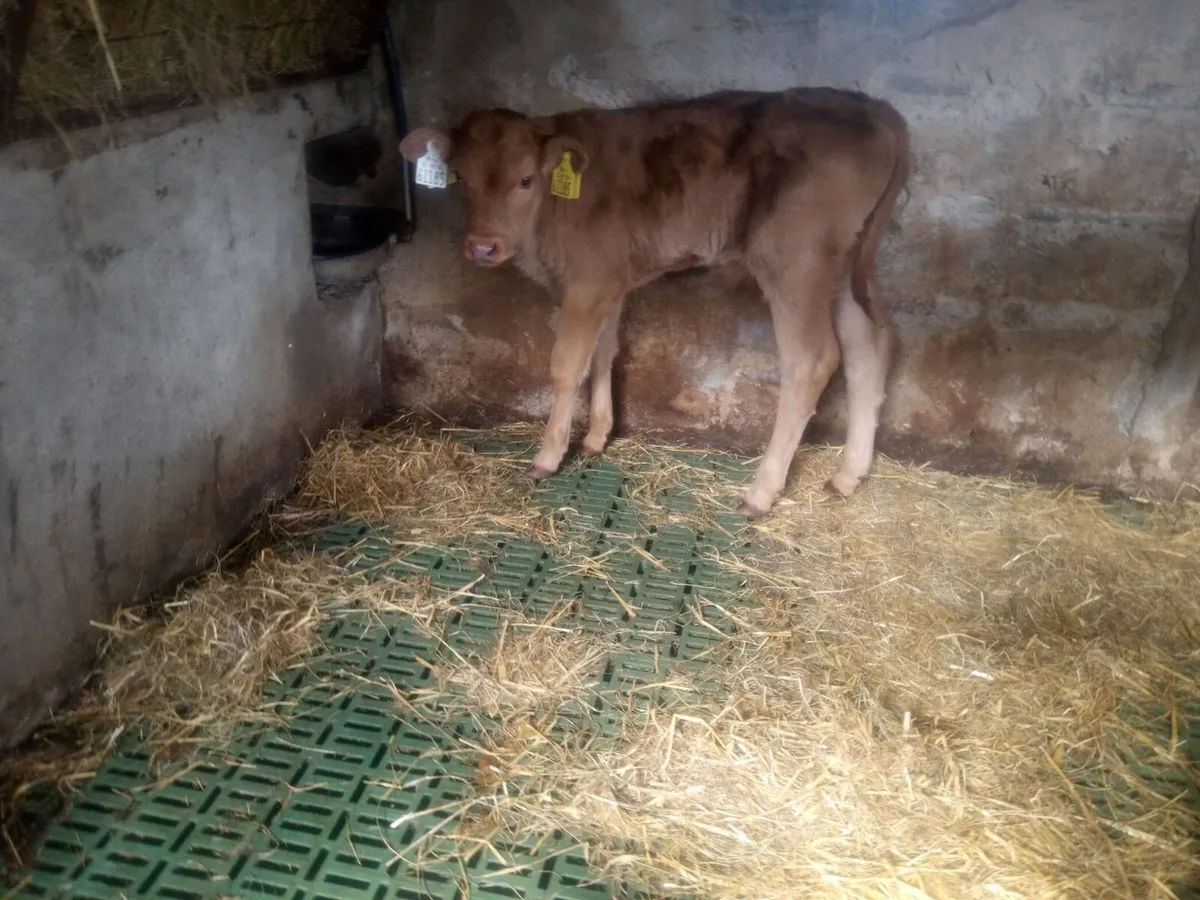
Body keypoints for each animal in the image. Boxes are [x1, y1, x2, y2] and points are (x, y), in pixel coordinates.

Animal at [399, 88, 909, 517]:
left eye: (525, 179)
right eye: (460, 177)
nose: (482, 247)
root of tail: (868, 104)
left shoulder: (587, 282)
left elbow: (566, 364)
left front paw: (549, 455)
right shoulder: (609, 282)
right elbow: (603, 351)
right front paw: (597, 436)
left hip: (795, 260)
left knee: (813, 360)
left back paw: (761, 492)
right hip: (844, 266)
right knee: (871, 343)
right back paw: (848, 475)